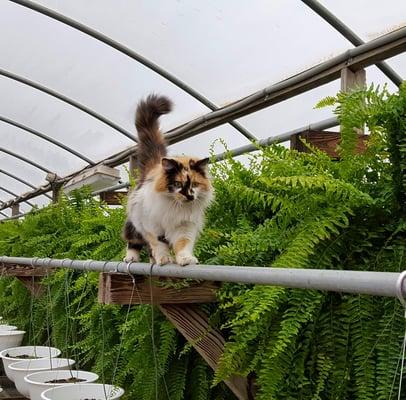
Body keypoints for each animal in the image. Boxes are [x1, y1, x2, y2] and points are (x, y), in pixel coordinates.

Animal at [122, 94, 214, 266]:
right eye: (177, 184)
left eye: (195, 184)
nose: (189, 196)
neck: (176, 207)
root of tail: (155, 166)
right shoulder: (152, 226)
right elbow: (159, 244)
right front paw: (164, 259)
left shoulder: (184, 226)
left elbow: (182, 244)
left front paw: (185, 259)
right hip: (135, 224)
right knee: (134, 241)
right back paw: (131, 258)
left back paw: (152, 261)